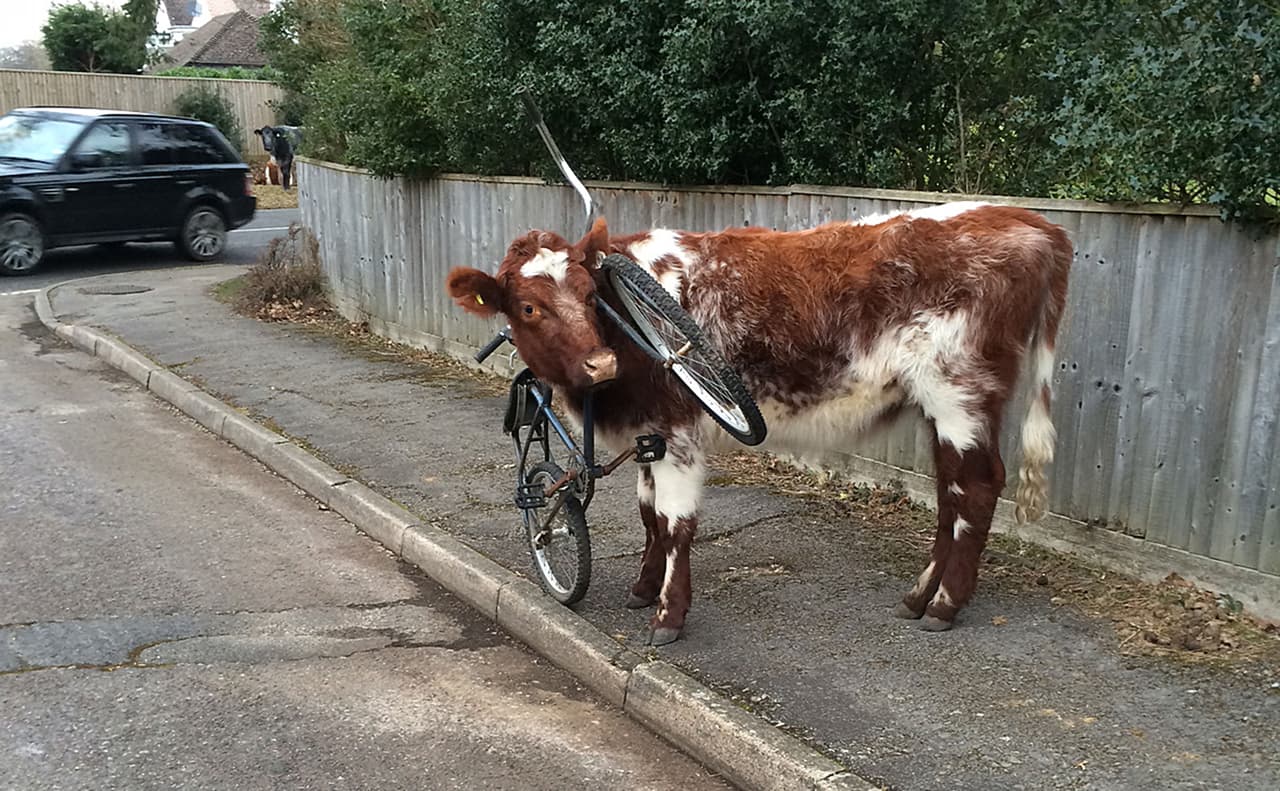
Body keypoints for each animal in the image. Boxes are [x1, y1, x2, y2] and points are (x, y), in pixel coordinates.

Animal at [448, 202, 1071, 645]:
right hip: (939, 407)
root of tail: (1027, 220)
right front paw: (643, 590)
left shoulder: (678, 430)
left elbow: (675, 524)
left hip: (960, 393)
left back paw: (944, 606)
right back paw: (919, 598)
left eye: (586, 293)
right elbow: (649, 517)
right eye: (528, 307)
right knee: (951, 493)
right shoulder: (650, 433)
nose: (599, 363)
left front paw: (669, 616)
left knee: (979, 488)